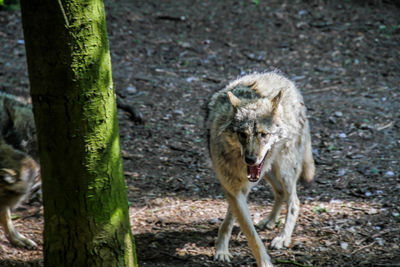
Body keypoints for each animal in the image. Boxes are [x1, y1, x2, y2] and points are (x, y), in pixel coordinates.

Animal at [206, 72, 316, 266]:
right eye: (243, 135)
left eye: (264, 134)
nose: (250, 159)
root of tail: (287, 81)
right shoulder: (234, 190)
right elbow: (242, 226)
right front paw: (222, 249)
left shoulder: (242, 187)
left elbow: (246, 230)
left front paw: (264, 262)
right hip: (267, 173)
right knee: (280, 192)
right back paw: (270, 221)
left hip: (284, 170)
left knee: (294, 202)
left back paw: (283, 237)